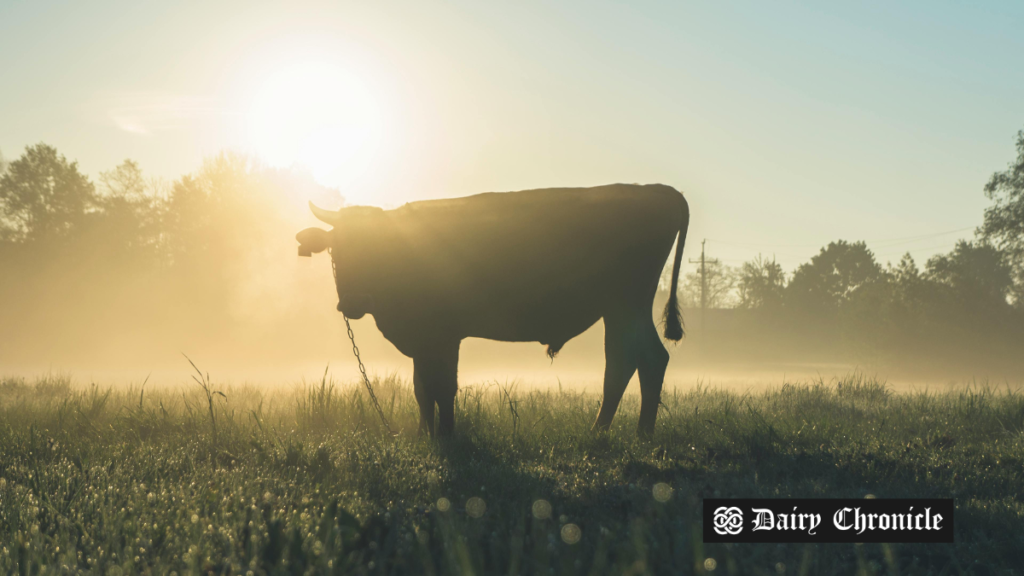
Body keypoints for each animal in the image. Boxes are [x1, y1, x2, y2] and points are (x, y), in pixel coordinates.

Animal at [299, 182, 692, 434]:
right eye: (337, 248)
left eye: (377, 245)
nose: (354, 302)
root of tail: (659, 189)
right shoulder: (424, 340)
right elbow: (421, 388)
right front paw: (425, 434)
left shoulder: (443, 336)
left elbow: (443, 386)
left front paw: (446, 435)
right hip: (623, 310)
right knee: (638, 361)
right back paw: (625, 433)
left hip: (626, 305)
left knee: (635, 361)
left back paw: (616, 434)